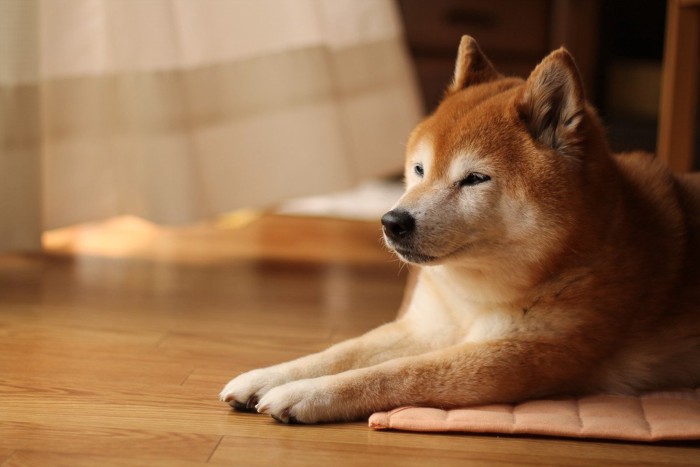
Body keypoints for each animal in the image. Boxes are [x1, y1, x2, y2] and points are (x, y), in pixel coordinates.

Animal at [220, 36, 700, 424]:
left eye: (474, 179)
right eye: (419, 169)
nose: (392, 222)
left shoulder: (520, 355)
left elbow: (396, 373)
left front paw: (305, 393)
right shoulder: (425, 328)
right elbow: (344, 350)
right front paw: (268, 375)